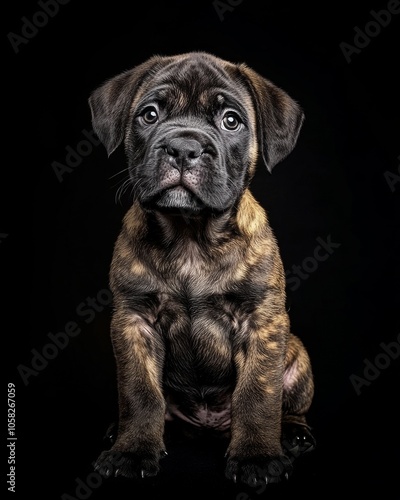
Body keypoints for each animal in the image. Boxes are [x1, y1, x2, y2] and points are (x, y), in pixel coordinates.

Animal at [88, 50, 316, 484]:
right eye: (149, 115)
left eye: (231, 120)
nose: (183, 147)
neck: (191, 236)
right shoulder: (134, 321)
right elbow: (140, 393)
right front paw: (133, 450)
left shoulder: (261, 322)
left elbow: (258, 394)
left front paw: (256, 457)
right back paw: (116, 430)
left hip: (297, 355)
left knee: (289, 405)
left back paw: (292, 432)